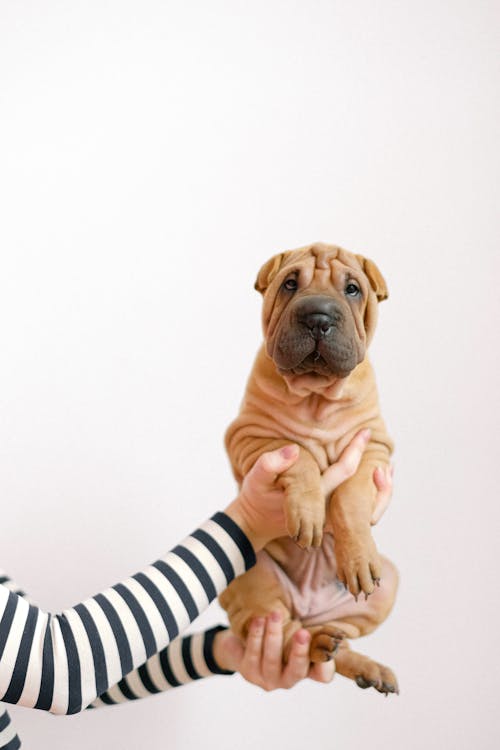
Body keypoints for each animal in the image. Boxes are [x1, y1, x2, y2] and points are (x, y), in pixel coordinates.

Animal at [221, 244, 400, 696]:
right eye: (289, 284)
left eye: (353, 289)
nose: (318, 317)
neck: (316, 395)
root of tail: (307, 608)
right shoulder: (250, 437)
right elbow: (299, 454)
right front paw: (309, 514)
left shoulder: (374, 448)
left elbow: (350, 497)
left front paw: (356, 555)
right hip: (252, 578)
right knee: (285, 636)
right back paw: (316, 643)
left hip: (386, 585)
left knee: (340, 638)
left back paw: (363, 664)